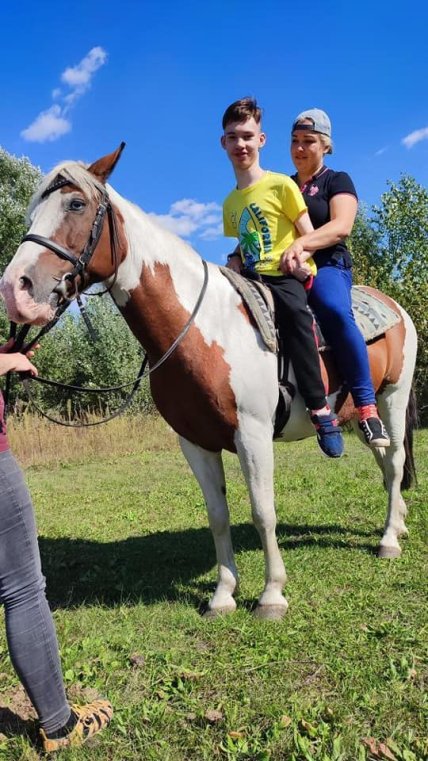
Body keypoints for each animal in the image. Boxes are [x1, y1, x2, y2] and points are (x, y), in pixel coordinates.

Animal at [0, 145, 414, 620]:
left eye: (75, 204)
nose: (14, 289)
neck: (202, 328)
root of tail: (394, 306)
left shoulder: (252, 434)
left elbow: (262, 511)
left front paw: (272, 595)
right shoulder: (194, 442)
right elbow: (218, 515)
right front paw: (222, 595)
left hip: (392, 399)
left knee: (395, 460)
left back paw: (388, 539)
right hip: (361, 417)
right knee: (384, 462)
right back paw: (399, 523)